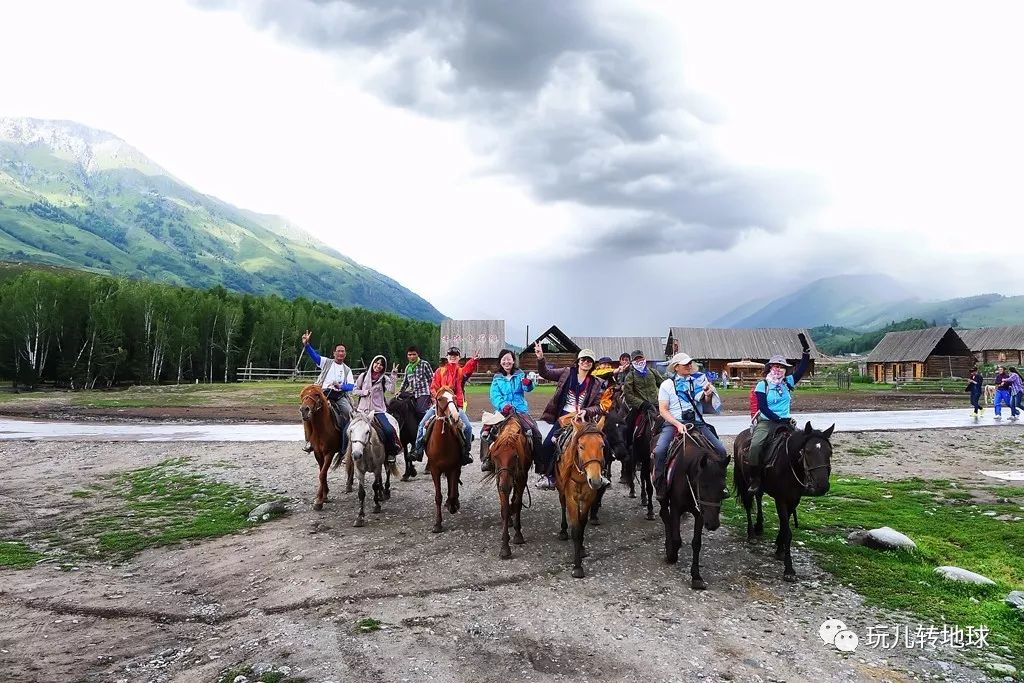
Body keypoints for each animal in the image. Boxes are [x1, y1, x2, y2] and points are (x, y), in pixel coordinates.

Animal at [423, 387, 464, 532]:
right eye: (440, 399)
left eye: (454, 397)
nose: (454, 417)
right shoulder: (435, 470)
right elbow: (438, 497)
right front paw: (437, 524)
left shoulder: (454, 467)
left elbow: (452, 490)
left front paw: (453, 505)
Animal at [481, 413, 536, 557]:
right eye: (495, 456)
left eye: (515, 456)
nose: (505, 485)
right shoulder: (499, 479)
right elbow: (505, 509)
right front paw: (505, 546)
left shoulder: (521, 478)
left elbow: (517, 504)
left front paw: (518, 535)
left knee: (515, 499)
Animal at [552, 413, 606, 581]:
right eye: (581, 446)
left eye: (602, 445)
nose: (595, 480)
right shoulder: (571, 498)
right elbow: (576, 529)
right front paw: (577, 567)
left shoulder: (589, 497)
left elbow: (582, 525)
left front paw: (581, 549)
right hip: (561, 489)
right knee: (562, 504)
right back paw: (563, 531)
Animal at [659, 423, 733, 589]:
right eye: (703, 485)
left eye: (722, 487)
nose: (713, 524)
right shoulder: (676, 508)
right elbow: (677, 539)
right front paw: (671, 554)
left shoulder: (701, 513)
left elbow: (696, 543)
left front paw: (696, 576)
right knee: (664, 515)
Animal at [733, 421, 835, 581]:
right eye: (807, 451)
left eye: (829, 452)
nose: (822, 486)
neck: (788, 464)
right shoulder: (781, 499)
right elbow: (787, 532)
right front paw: (789, 569)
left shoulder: (794, 500)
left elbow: (784, 526)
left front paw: (779, 549)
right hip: (744, 482)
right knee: (749, 505)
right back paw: (751, 534)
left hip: (759, 486)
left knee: (759, 497)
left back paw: (759, 526)